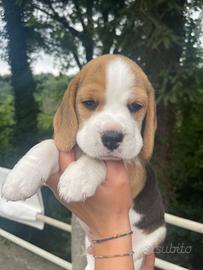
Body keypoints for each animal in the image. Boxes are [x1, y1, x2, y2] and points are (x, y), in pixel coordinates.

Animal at [1, 54, 166, 268]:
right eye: (89, 103)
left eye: (136, 106)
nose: (112, 137)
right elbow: (47, 145)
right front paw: (21, 177)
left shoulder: (135, 169)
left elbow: (101, 160)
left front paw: (77, 179)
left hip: (151, 239)